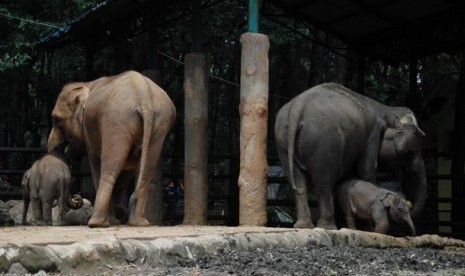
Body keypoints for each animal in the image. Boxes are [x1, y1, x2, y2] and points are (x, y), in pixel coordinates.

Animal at [48, 70, 176, 227]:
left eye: (55, 119)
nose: (78, 198)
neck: (86, 84)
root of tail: (144, 97)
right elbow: (128, 168)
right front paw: (118, 218)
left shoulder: (89, 130)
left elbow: (96, 163)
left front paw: (113, 220)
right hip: (159, 125)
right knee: (145, 171)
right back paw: (139, 223)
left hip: (116, 121)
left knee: (109, 170)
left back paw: (97, 224)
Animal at [274, 83, 426, 230]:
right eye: (408, 151)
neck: (386, 110)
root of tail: (297, 107)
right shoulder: (373, 134)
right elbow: (367, 169)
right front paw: (367, 227)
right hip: (323, 145)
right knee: (324, 182)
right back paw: (328, 227)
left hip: (284, 141)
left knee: (298, 182)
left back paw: (304, 226)